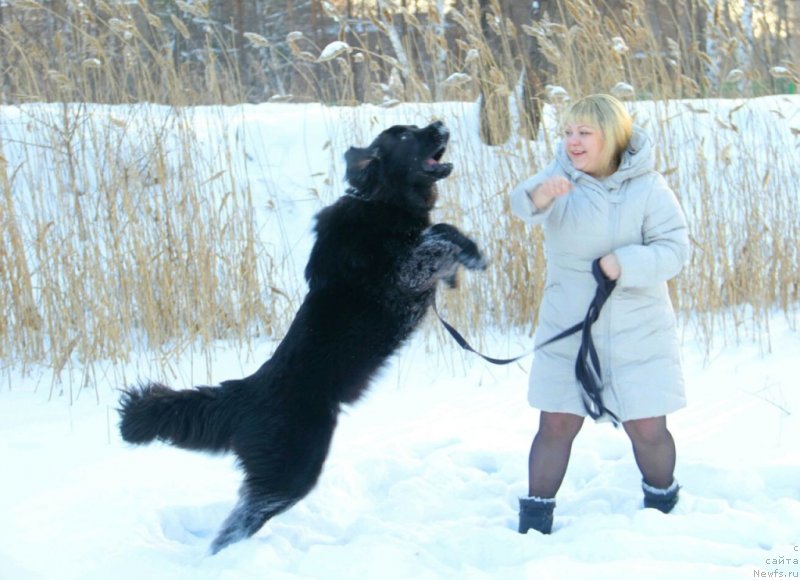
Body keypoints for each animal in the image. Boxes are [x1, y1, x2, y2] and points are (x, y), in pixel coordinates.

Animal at [115, 121, 484, 552]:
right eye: (407, 136)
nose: (440, 123)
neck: (380, 201)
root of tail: (245, 393)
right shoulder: (399, 278)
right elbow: (438, 234)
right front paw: (472, 252)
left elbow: (439, 238)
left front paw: (459, 266)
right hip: (291, 471)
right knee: (233, 528)